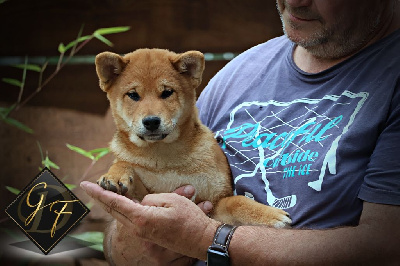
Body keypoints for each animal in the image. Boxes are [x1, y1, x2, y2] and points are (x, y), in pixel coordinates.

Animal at [95, 48, 292, 228]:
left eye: (167, 92)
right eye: (133, 95)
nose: (151, 122)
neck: (163, 156)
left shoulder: (213, 202)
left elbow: (237, 202)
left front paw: (270, 215)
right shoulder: (147, 194)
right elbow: (123, 163)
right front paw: (114, 176)